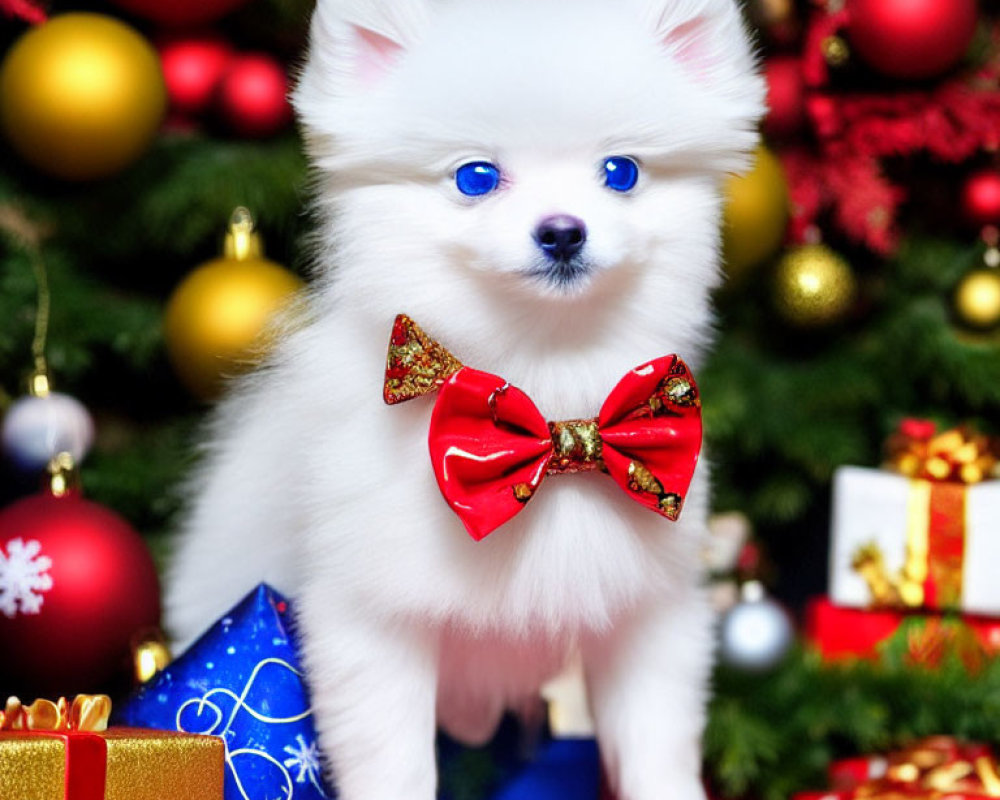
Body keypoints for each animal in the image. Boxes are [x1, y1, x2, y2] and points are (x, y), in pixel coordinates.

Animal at [164, 1, 760, 800]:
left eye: (622, 172)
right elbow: (395, 765)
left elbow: (656, 749)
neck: (544, 372)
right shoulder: (371, 624)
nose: (563, 230)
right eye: (476, 178)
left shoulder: (650, 611)